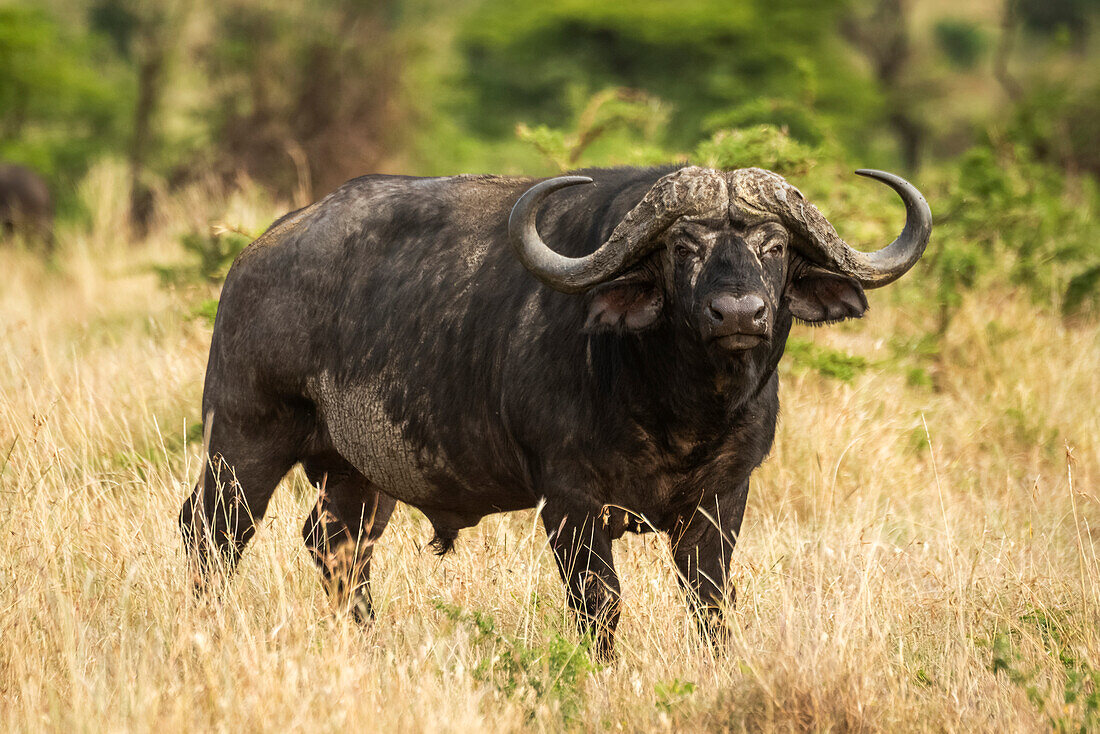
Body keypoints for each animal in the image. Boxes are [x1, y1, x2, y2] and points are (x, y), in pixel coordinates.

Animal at [178, 166, 928, 660]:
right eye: (683, 248)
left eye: (774, 247)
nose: (739, 313)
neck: (678, 407)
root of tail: (254, 257)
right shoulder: (569, 501)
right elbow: (600, 602)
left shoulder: (724, 496)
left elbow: (710, 599)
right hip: (243, 441)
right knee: (212, 533)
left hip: (357, 473)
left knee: (335, 544)